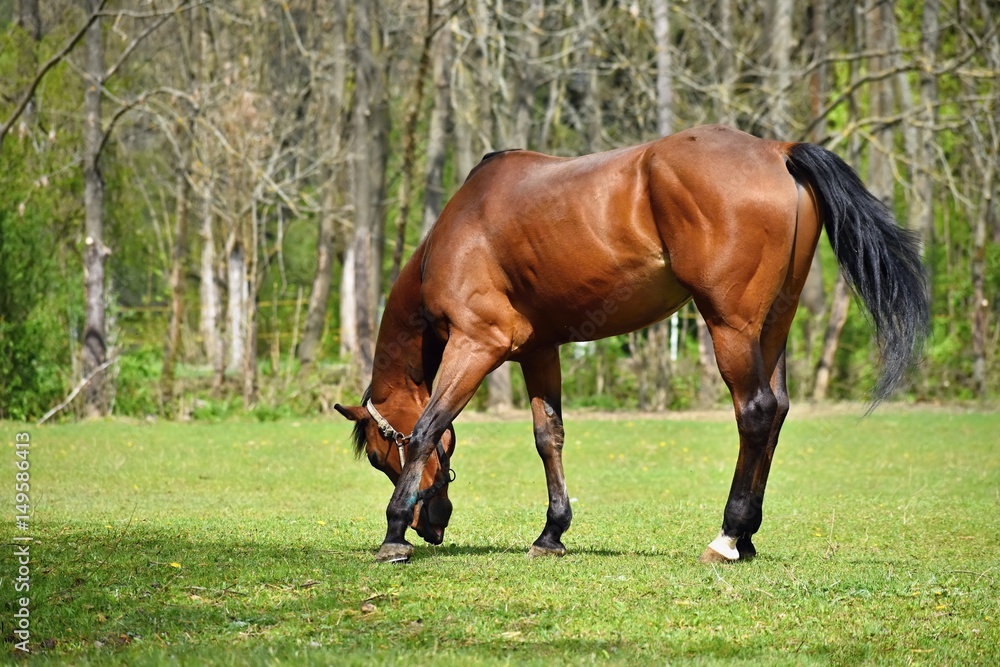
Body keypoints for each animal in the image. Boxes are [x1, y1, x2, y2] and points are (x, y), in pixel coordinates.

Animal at [335, 124, 928, 564]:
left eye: (381, 457)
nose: (429, 526)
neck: (459, 232)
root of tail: (776, 151)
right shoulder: (539, 350)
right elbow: (548, 437)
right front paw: (552, 533)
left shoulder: (477, 344)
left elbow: (427, 427)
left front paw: (392, 535)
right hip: (773, 326)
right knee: (778, 410)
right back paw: (749, 537)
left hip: (731, 325)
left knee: (756, 411)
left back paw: (728, 536)